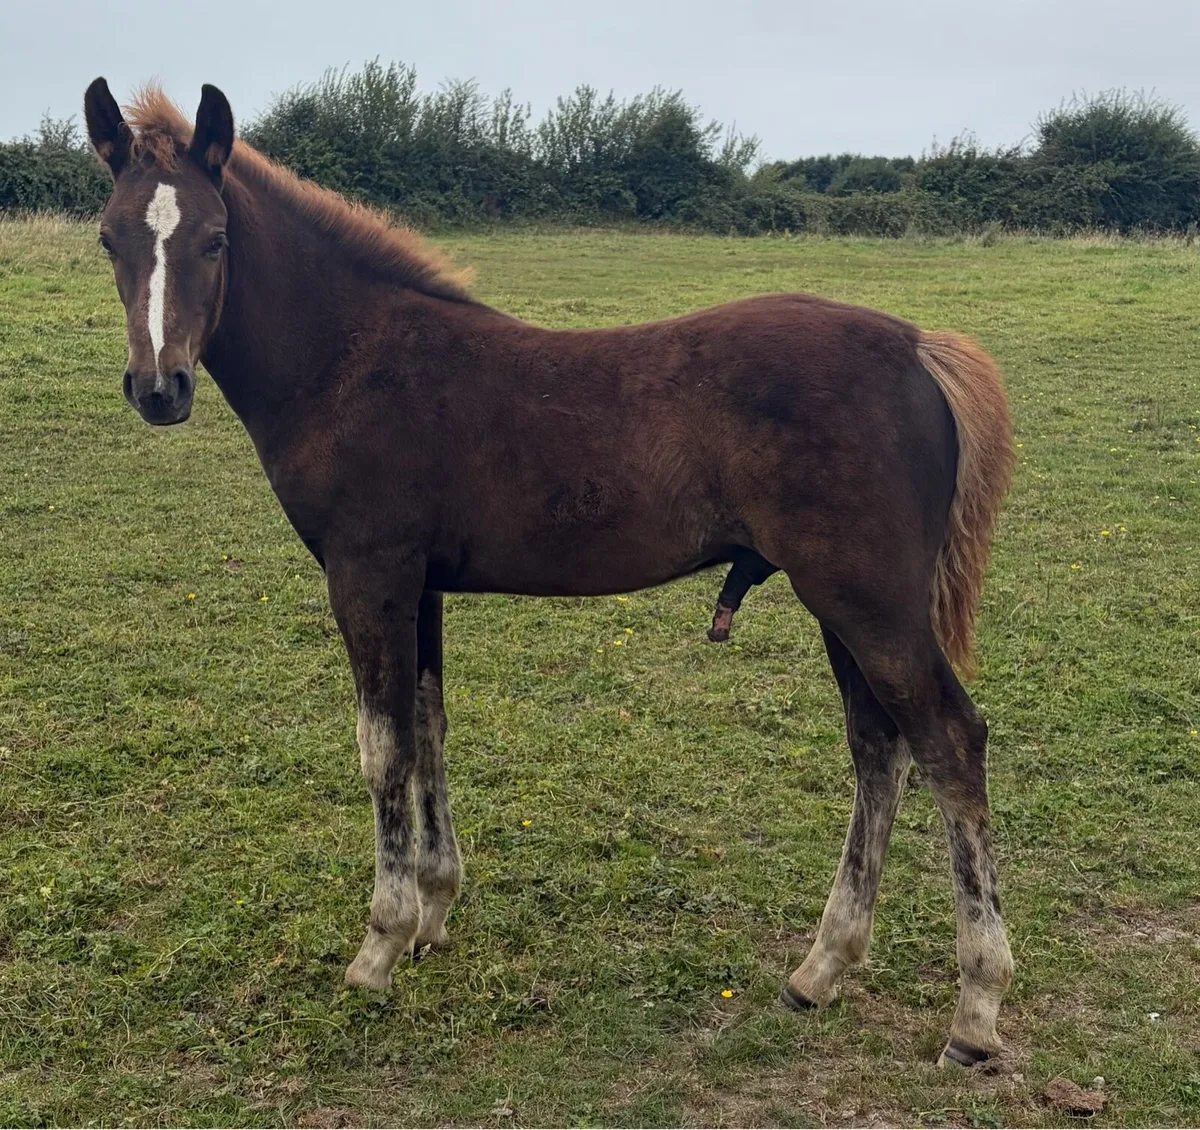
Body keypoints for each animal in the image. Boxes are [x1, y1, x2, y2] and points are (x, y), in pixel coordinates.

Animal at [83, 78, 1016, 1067]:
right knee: (880, 749)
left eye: (215, 238)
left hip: (867, 601)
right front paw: (433, 912)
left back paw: (975, 1009)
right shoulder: (419, 585)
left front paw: (379, 944)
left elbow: (382, 748)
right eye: (109, 238)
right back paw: (822, 969)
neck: (352, 359)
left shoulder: (367, 575)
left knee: (949, 743)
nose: (159, 389)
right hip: (845, 605)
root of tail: (918, 346)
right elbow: (429, 726)